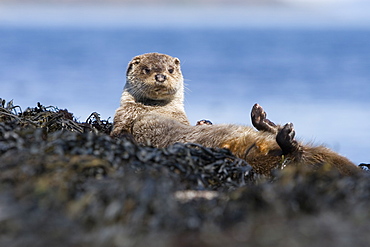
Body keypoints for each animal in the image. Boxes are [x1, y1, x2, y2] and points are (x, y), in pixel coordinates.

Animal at [111, 52, 360, 176]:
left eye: (170, 69)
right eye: (147, 69)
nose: (161, 76)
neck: (157, 108)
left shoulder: (184, 118)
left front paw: (204, 122)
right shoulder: (123, 117)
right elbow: (119, 134)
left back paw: (263, 120)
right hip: (261, 161)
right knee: (291, 155)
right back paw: (283, 136)